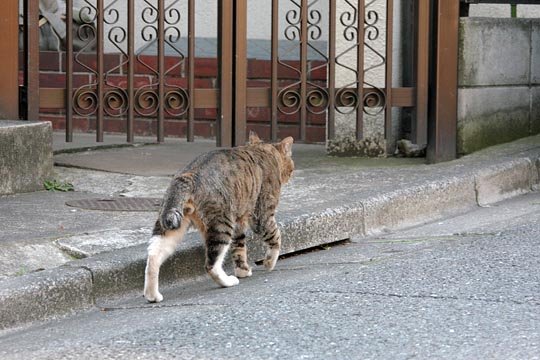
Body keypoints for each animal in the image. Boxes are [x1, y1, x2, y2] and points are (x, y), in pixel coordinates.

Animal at [143, 131, 294, 302]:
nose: (291, 173)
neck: (264, 150)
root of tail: (189, 175)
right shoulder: (261, 215)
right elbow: (275, 236)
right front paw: (269, 262)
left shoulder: (239, 221)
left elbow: (239, 247)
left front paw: (243, 270)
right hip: (221, 224)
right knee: (211, 265)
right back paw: (228, 281)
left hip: (170, 225)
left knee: (153, 258)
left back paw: (152, 295)